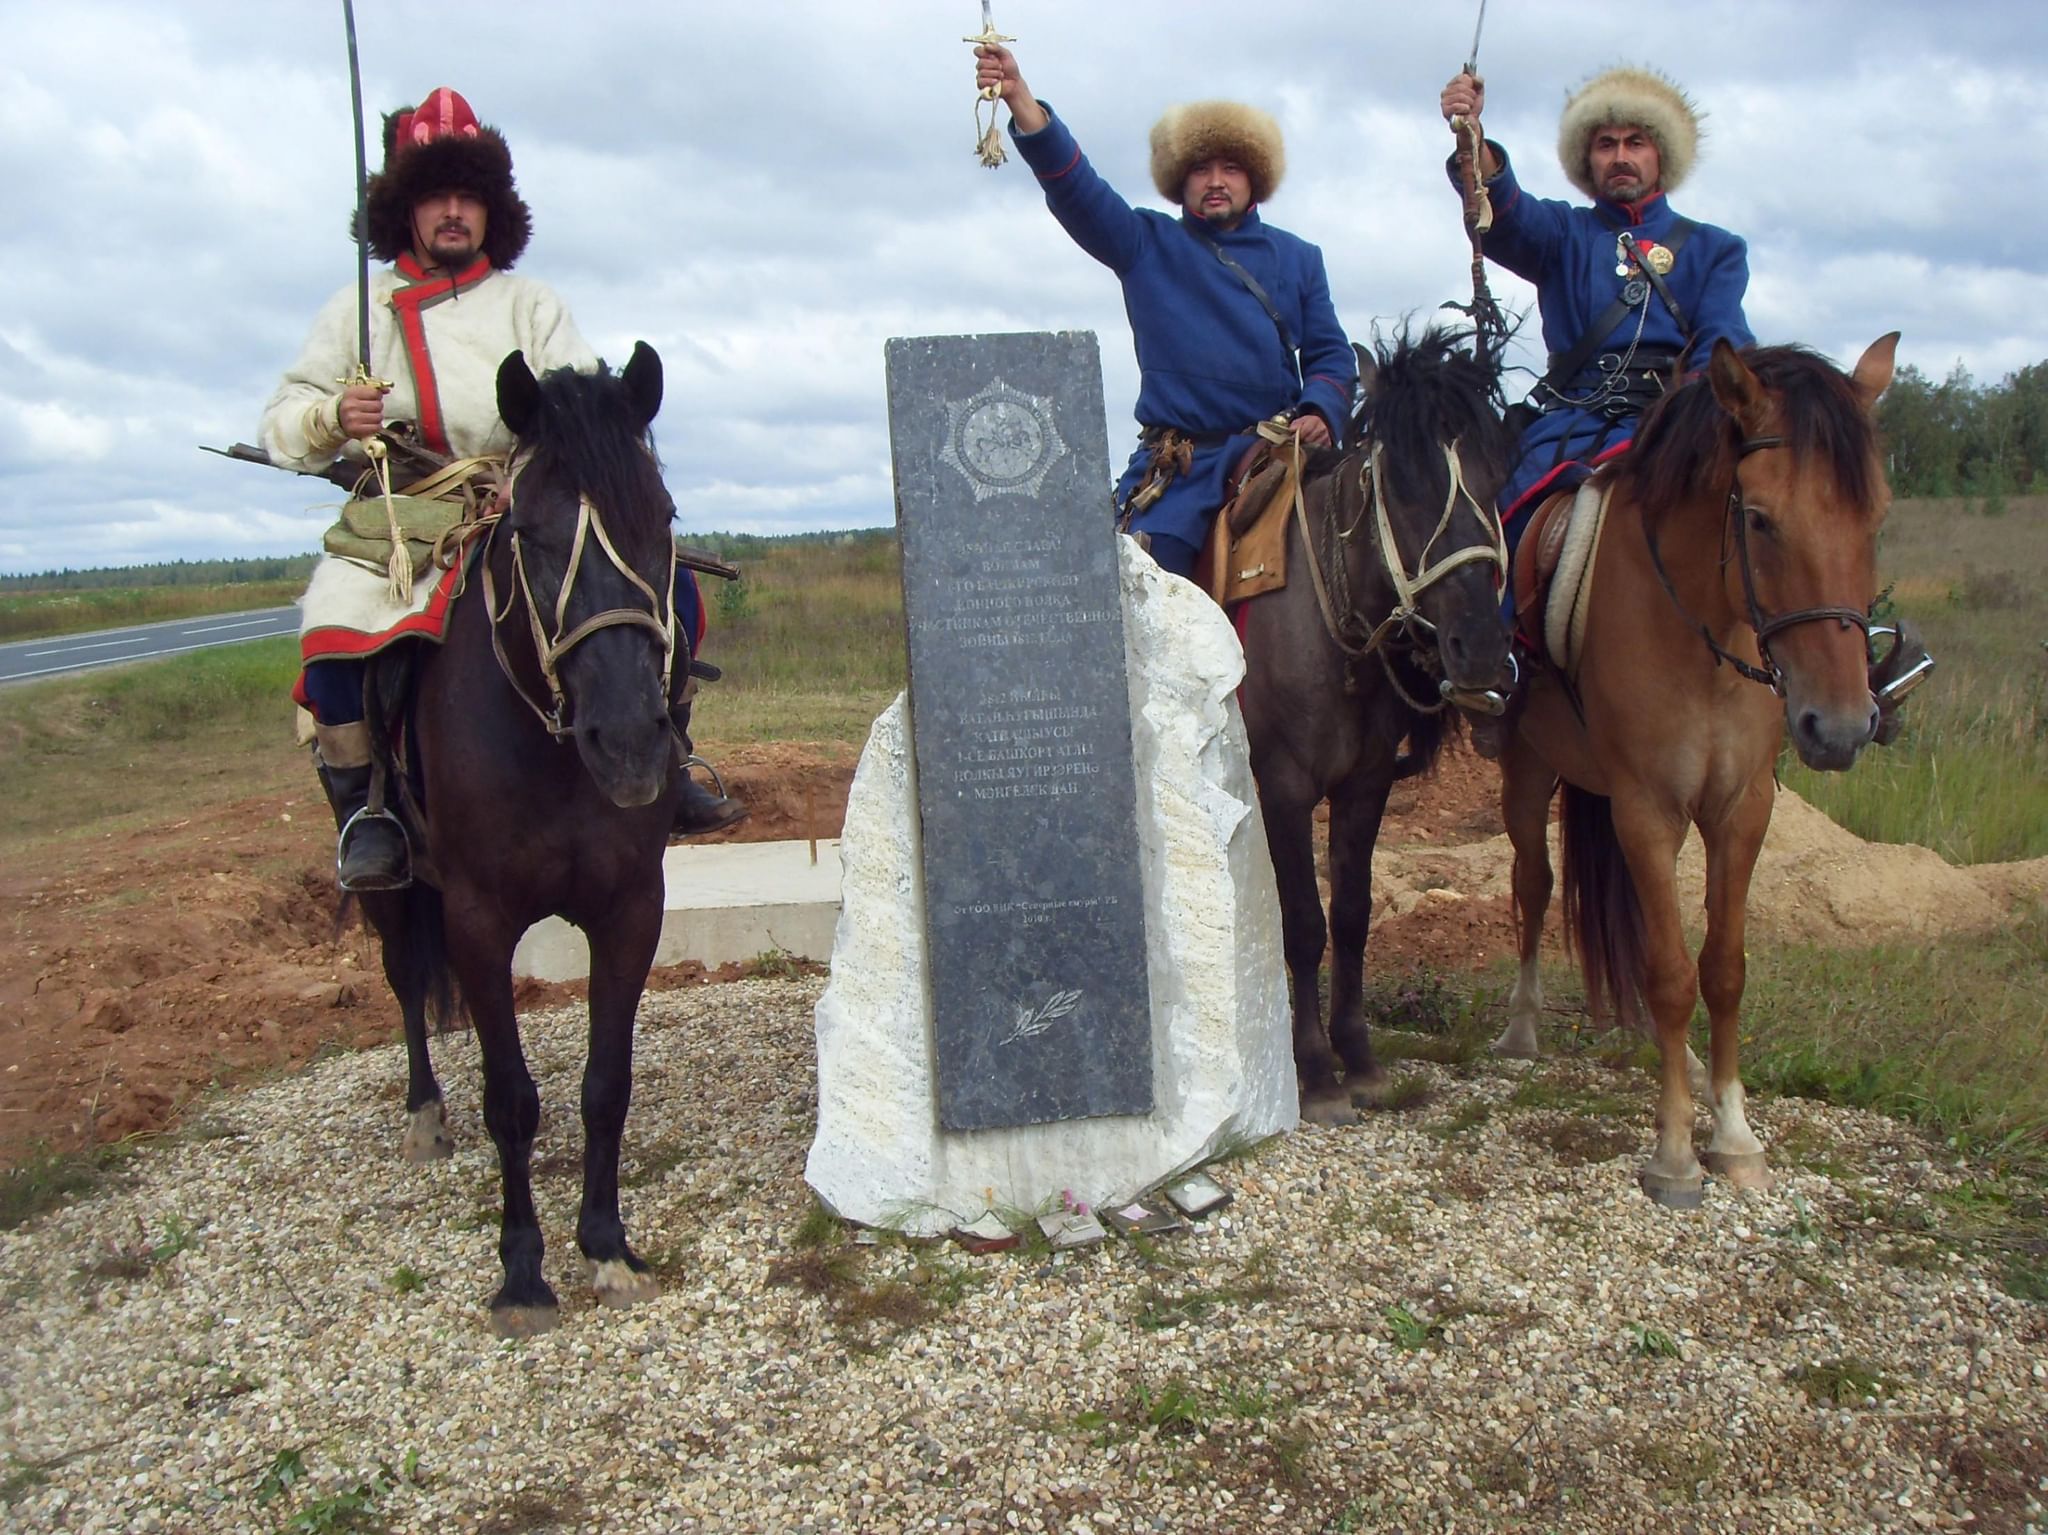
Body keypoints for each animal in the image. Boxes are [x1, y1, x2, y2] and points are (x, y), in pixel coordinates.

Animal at [362, 345, 688, 1334]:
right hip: (395, 888)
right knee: (406, 982)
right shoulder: (475, 917)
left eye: (660, 518)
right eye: (534, 536)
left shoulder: (631, 908)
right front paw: (522, 1269)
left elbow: (604, 1084)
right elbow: (510, 1099)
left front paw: (608, 1245)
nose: (631, 743)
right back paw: (424, 1112)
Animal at [1236, 325, 1515, 1121]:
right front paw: (1313, 1070)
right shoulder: (1284, 787)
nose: (1481, 649)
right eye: (1404, 484)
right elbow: (1304, 922)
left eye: (1496, 476)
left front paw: (1356, 1056)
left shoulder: (1365, 786)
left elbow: (1354, 913)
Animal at [1490, 335, 1900, 1211]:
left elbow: (1724, 968)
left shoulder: (1740, 811)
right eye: (1759, 518)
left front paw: (1735, 1135)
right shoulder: (1647, 809)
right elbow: (1673, 973)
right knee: (1534, 884)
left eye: (1876, 517)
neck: (1703, 629)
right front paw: (1675, 1152)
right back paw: (1522, 1025)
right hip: (1529, 769)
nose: (1841, 726)